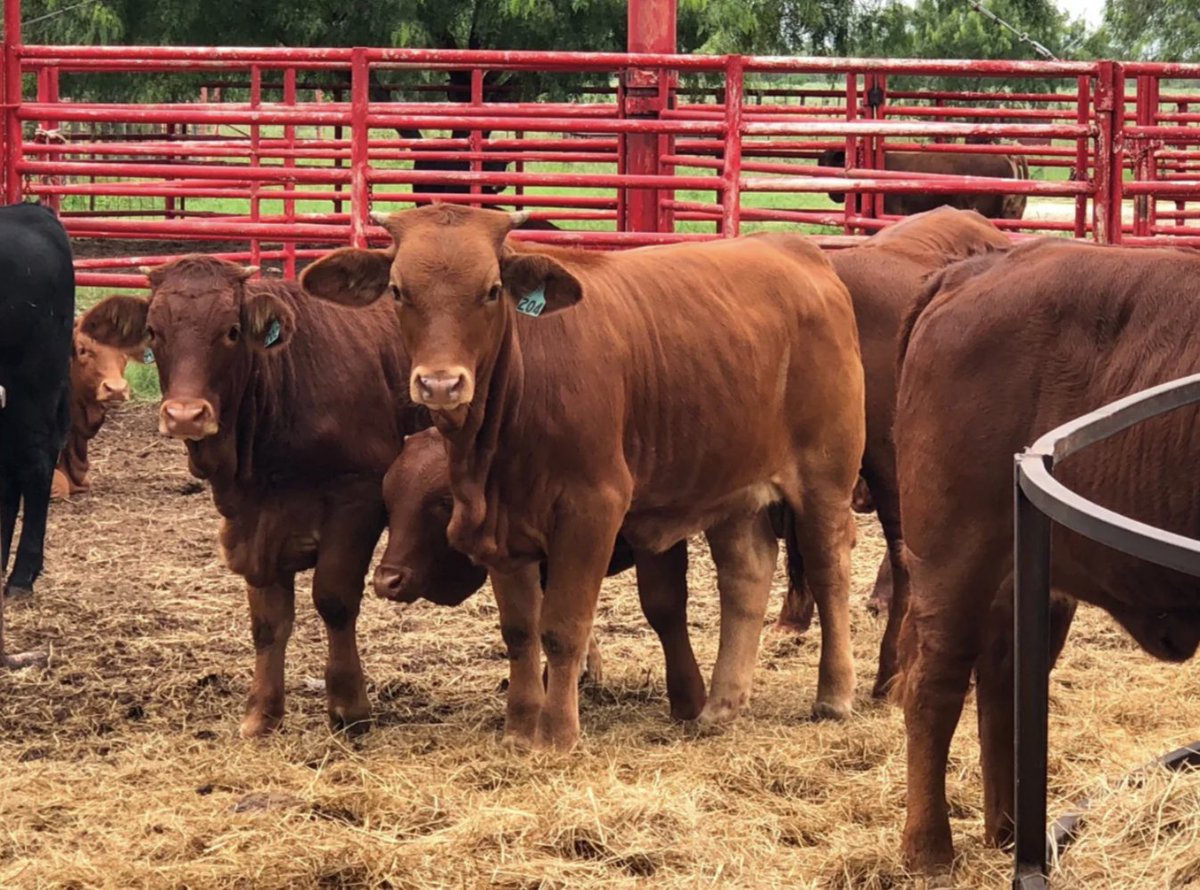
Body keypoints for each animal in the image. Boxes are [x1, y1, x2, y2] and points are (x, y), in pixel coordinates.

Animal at [80, 256, 422, 737]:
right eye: (153, 332)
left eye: (231, 331)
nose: (185, 415)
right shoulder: (251, 520)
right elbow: (268, 620)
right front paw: (262, 712)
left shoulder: (359, 495)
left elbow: (334, 600)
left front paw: (348, 707)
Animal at [301, 204, 866, 751]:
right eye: (398, 291)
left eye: (492, 290)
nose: (441, 384)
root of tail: (795, 250)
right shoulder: (503, 528)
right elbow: (520, 631)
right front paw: (519, 729)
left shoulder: (592, 511)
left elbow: (562, 627)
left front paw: (557, 734)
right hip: (734, 488)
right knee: (746, 576)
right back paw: (721, 706)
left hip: (825, 479)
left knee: (829, 571)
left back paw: (834, 694)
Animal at [893, 238, 1200, 872]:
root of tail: (976, 267)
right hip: (952, 555)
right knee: (934, 679)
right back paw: (930, 850)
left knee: (1002, 675)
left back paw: (1010, 831)